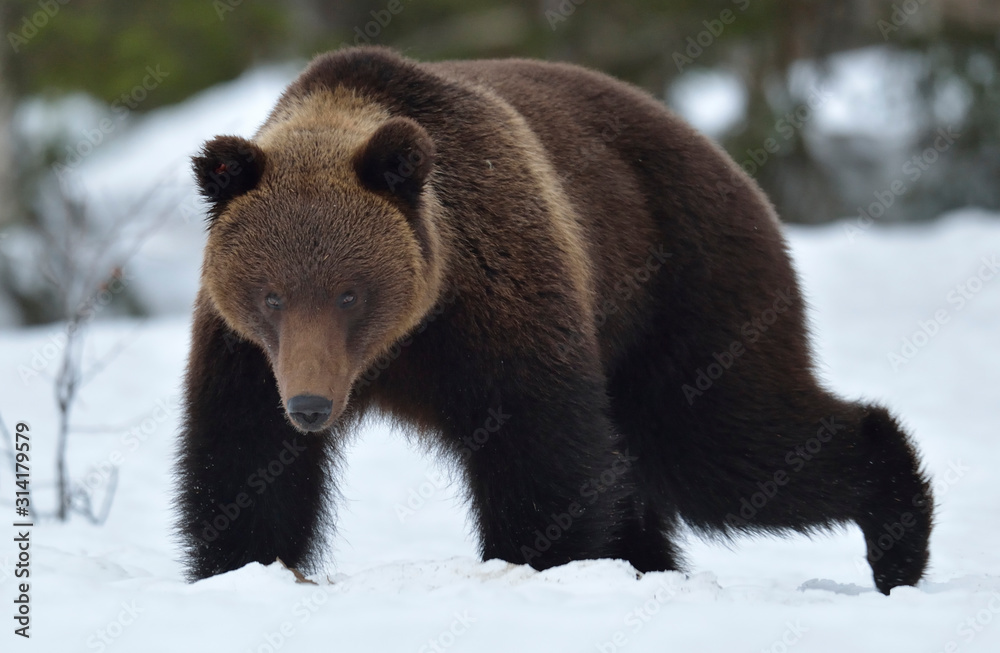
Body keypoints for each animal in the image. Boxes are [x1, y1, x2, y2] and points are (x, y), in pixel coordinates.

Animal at [175, 46, 933, 594]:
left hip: (683, 293)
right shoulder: (246, 355)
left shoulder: (499, 300)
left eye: (350, 293)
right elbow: (244, 467)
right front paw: (244, 568)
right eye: (271, 295)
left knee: (725, 449)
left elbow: (541, 454)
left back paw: (899, 539)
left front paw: (535, 562)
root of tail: (724, 159)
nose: (310, 405)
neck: (403, 340)